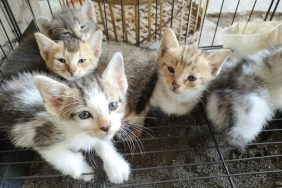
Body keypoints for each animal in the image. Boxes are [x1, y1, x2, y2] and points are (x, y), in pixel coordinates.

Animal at [0, 53, 130, 184]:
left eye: (113, 105)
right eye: (84, 115)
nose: (106, 126)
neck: (77, 131)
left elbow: (102, 143)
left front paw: (116, 167)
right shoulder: (42, 136)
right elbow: (63, 157)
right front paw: (85, 171)